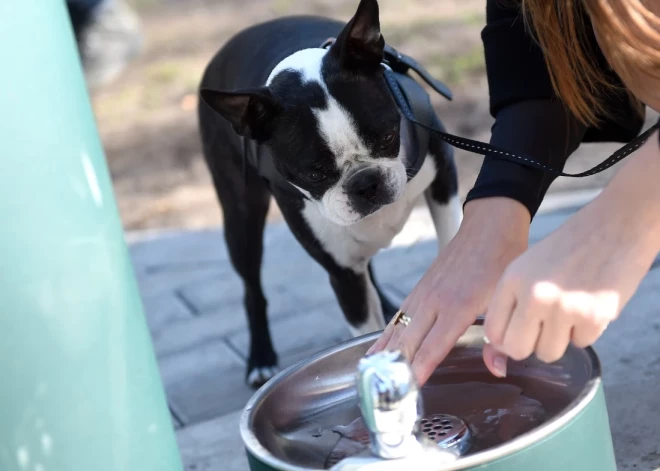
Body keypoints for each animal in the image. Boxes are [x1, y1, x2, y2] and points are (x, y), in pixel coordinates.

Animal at [199, 0, 462, 390]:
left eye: (389, 136)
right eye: (314, 173)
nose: (366, 183)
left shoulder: (443, 174)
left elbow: (454, 240)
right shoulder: (339, 270)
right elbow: (361, 330)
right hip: (240, 218)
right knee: (252, 287)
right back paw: (260, 358)